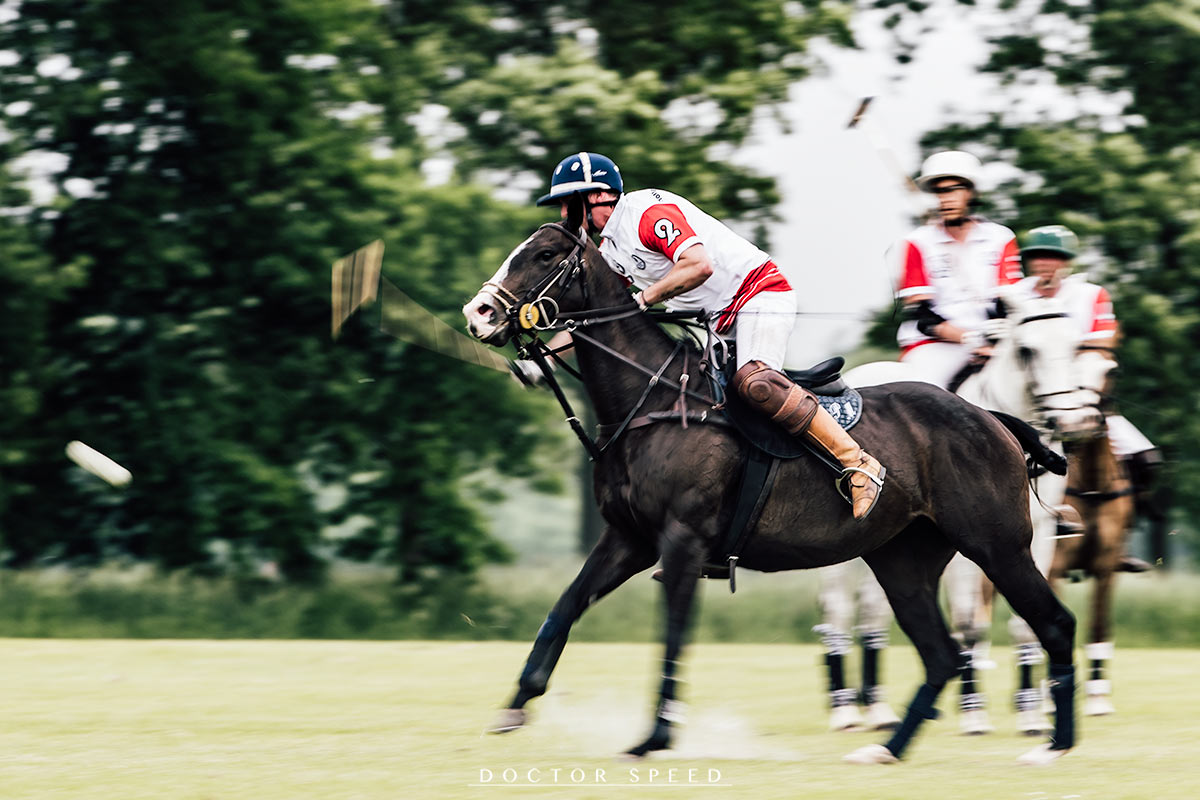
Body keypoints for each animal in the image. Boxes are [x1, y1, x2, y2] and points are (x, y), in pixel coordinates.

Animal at [462, 207, 1077, 765]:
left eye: (544, 254)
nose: (479, 313)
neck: (654, 400)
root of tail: (991, 416)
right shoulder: (627, 539)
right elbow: (563, 609)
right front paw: (515, 707)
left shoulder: (682, 543)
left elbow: (673, 637)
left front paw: (655, 737)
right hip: (904, 560)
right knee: (942, 654)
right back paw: (887, 749)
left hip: (998, 545)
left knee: (1052, 623)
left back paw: (1053, 744)